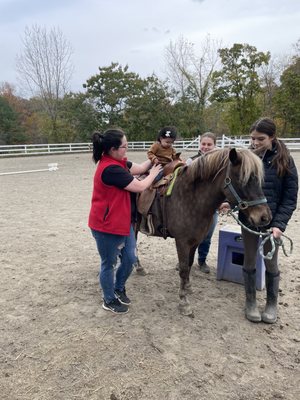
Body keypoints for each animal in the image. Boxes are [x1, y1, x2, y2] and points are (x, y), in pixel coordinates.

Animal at [138, 148, 272, 318]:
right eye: (243, 179)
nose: (264, 217)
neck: (190, 197)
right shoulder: (182, 242)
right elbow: (183, 269)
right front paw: (184, 302)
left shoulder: (195, 240)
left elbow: (189, 265)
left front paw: (188, 287)